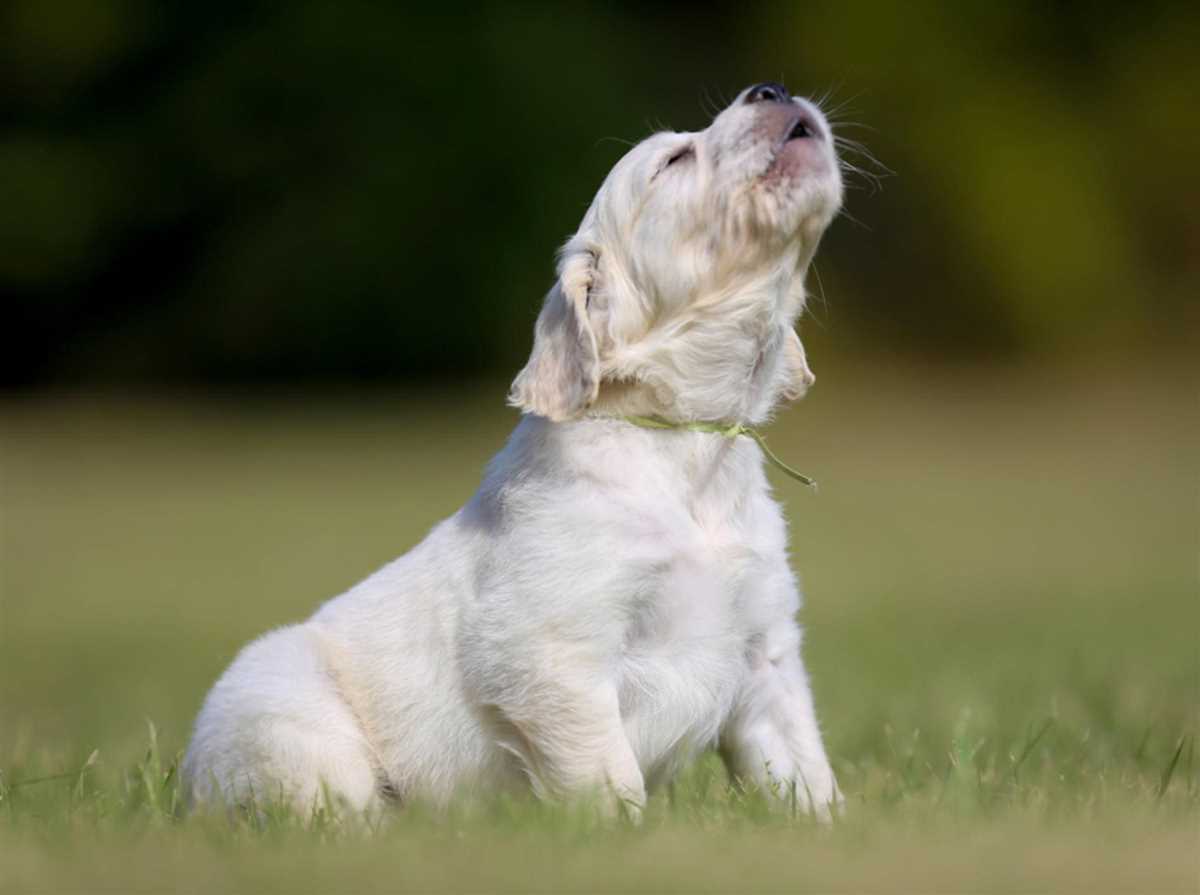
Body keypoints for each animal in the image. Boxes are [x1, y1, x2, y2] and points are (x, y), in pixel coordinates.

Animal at [184, 82, 844, 815]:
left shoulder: (766, 653)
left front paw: (828, 823)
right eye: (673, 160)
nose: (770, 90)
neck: (684, 442)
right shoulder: (556, 657)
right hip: (290, 724)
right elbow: (608, 780)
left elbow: (803, 771)